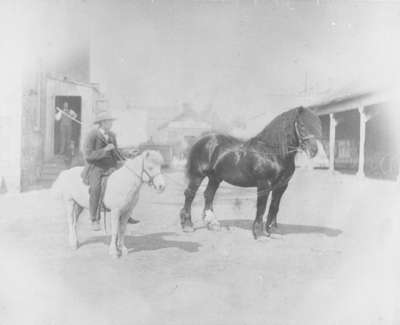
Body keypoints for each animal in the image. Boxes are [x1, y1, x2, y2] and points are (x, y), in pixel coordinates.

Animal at [180, 106, 324, 238]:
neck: (273, 152)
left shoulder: (282, 186)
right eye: (302, 125)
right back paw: (187, 226)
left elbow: (275, 206)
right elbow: (262, 207)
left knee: (208, 195)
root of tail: (202, 141)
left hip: (215, 178)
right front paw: (259, 234)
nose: (314, 150)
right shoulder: (264, 184)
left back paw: (213, 224)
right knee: (190, 195)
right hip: (198, 175)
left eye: (317, 125)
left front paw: (273, 231)